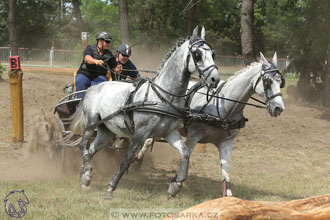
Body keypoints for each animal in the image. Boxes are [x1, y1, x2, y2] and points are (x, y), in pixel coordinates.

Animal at [68, 26, 220, 199]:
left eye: (213, 54)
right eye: (197, 54)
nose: (215, 79)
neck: (163, 97)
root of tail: (92, 88)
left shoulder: (170, 133)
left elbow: (185, 153)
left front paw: (175, 186)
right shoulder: (140, 133)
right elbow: (127, 159)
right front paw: (110, 189)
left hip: (106, 131)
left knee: (91, 149)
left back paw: (84, 178)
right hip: (91, 122)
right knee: (83, 146)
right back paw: (87, 173)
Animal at [138, 52, 284, 198]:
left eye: (281, 82)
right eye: (268, 81)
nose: (278, 108)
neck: (223, 107)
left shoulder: (226, 143)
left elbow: (225, 170)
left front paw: (228, 195)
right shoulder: (193, 136)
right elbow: (185, 156)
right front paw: (175, 184)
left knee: (150, 140)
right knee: (149, 140)